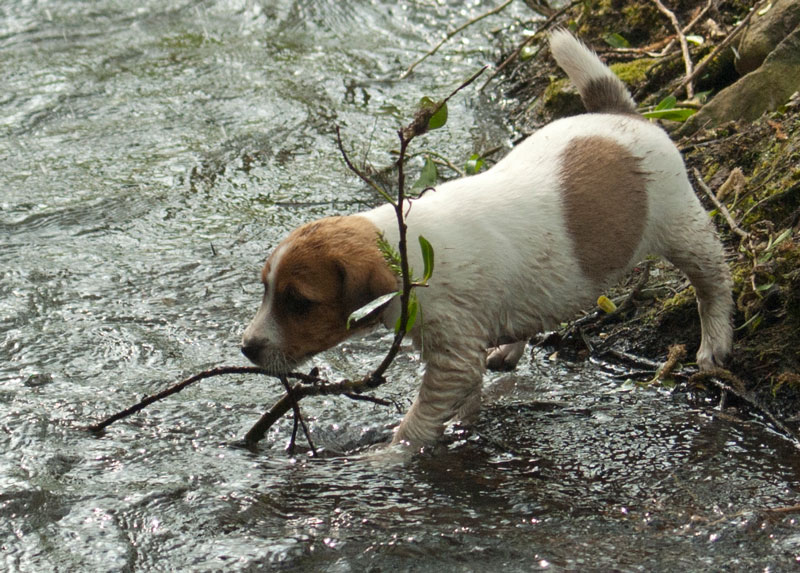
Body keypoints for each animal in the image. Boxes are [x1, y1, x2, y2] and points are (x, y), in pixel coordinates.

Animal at [241, 32, 736, 446]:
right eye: (266, 290)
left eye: (298, 302)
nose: (246, 348)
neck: (402, 250)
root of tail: (619, 116)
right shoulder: (459, 352)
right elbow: (465, 399)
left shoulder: (453, 359)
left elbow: (419, 422)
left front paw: (388, 456)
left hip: (682, 226)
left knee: (714, 282)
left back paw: (714, 343)